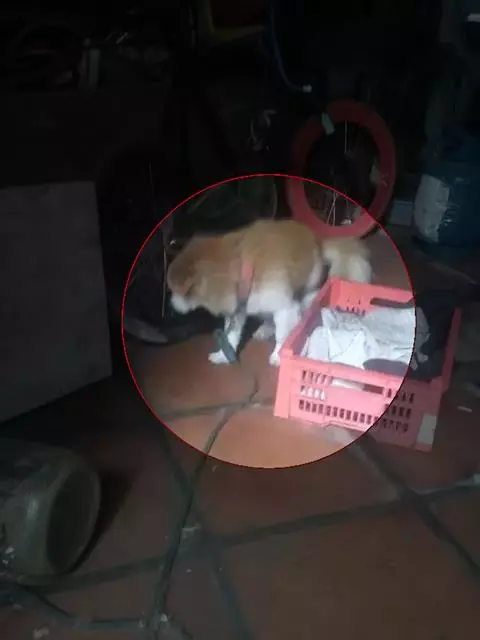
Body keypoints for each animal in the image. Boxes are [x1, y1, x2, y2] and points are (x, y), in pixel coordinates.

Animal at [167, 219, 371, 366]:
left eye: (176, 292)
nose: (170, 306)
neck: (242, 269)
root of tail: (318, 241)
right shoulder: (238, 310)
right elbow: (231, 335)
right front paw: (223, 356)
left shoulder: (285, 309)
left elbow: (283, 334)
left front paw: (278, 356)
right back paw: (265, 328)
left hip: (306, 292)